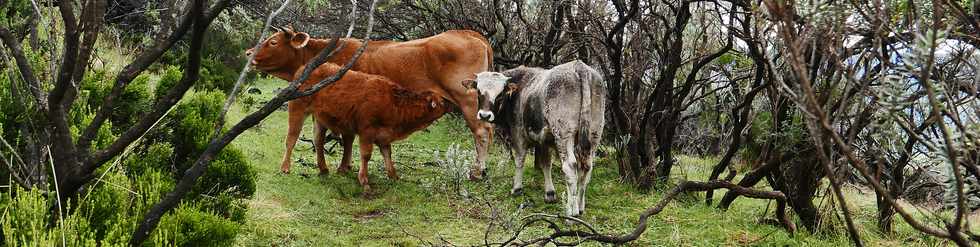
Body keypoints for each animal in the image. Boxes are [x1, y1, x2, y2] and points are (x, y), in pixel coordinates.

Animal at [286, 61, 450, 189]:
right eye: (441, 102)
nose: (450, 105)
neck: (394, 102)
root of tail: (305, 67)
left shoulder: (384, 136)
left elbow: (387, 154)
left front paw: (394, 176)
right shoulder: (367, 132)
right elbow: (366, 155)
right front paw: (364, 180)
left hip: (320, 119)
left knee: (318, 140)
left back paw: (324, 169)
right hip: (297, 110)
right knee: (291, 138)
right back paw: (285, 168)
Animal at [462, 60, 604, 216]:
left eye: (500, 94)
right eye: (479, 92)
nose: (484, 115)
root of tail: (579, 67)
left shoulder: (518, 134)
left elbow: (519, 160)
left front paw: (517, 188)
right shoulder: (545, 140)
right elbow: (546, 164)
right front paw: (549, 193)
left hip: (564, 135)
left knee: (570, 168)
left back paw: (571, 212)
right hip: (594, 134)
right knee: (586, 167)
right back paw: (580, 207)